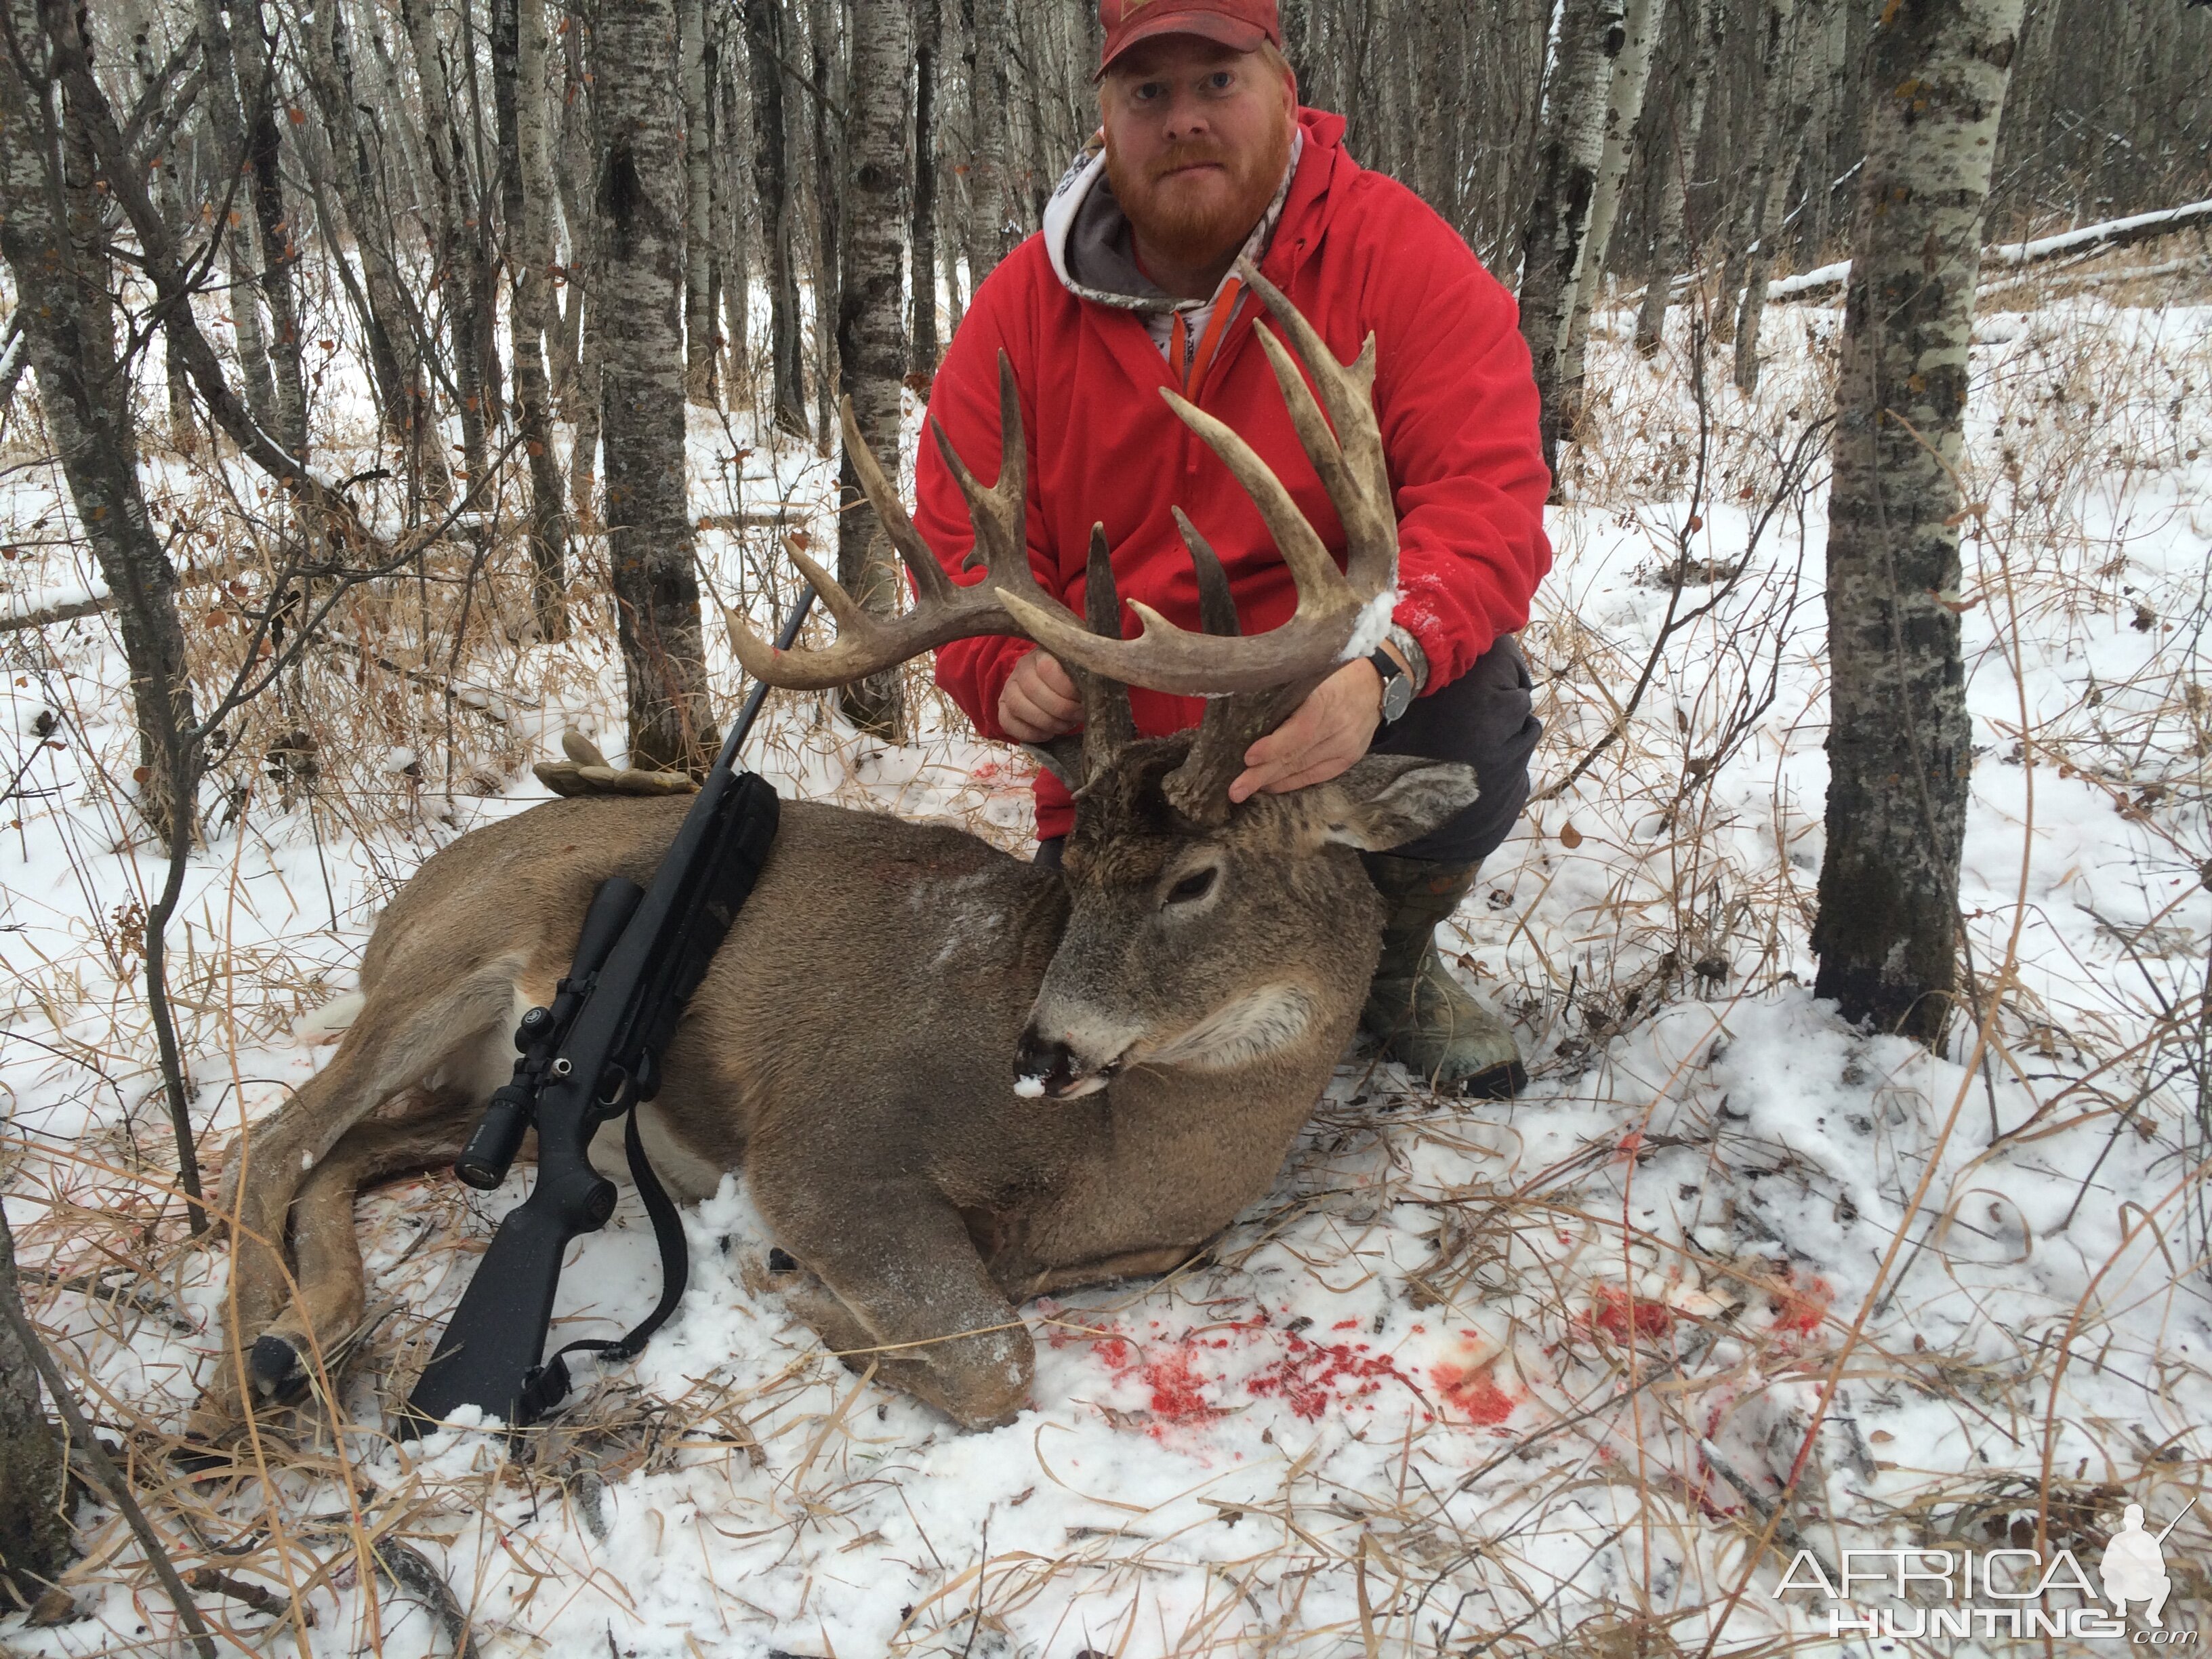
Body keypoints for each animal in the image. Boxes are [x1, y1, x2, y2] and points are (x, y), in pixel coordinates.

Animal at [199, 273, 1477, 1442]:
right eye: (1074, 875)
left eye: (1193, 878)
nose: (1042, 1050)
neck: (1120, 1160)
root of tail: (403, 906)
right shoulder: (830, 1142)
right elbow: (993, 1358)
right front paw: (779, 1280)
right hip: (454, 957)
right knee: (275, 1139)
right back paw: (246, 1377)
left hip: (468, 1086)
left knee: (350, 1150)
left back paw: (310, 1330)